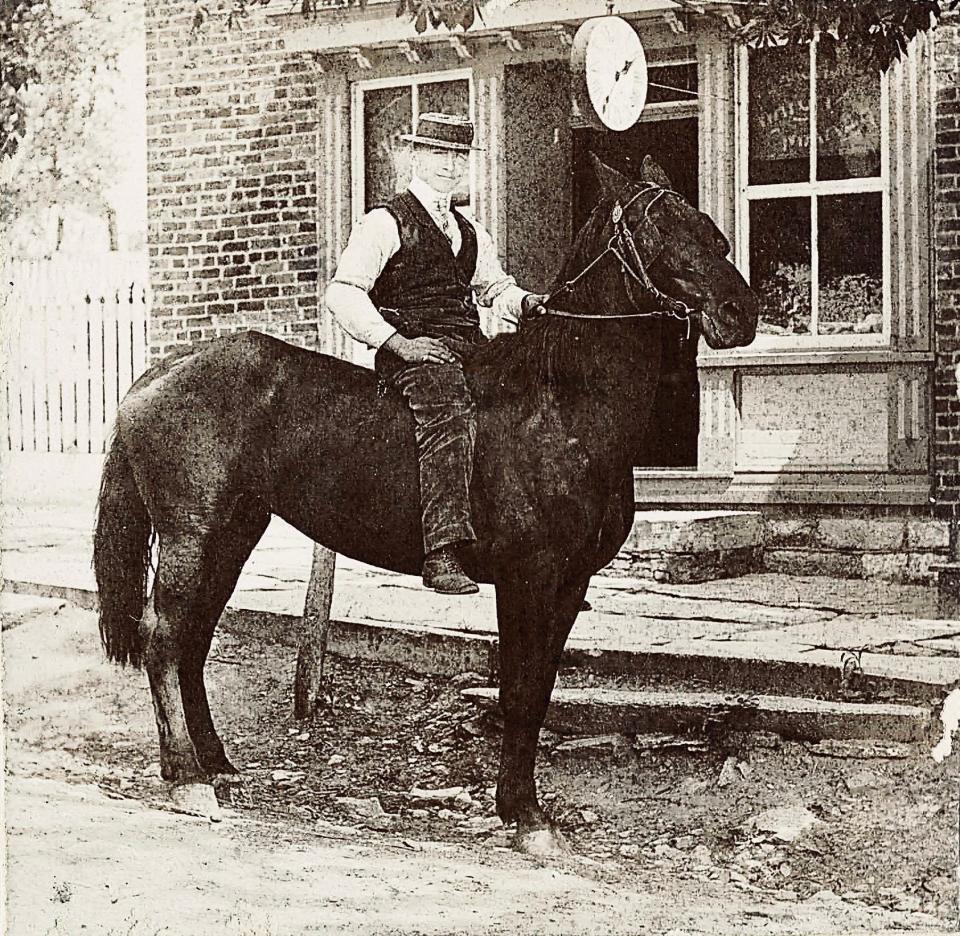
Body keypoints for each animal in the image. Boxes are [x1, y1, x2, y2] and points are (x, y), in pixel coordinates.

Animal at [94, 155, 760, 856]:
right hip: (190, 536)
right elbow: (520, 692)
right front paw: (526, 816)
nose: (740, 311)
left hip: (231, 536)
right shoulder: (527, 578)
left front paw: (518, 806)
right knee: (164, 639)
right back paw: (186, 777)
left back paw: (217, 764)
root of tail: (155, 376)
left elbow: (540, 689)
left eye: (702, 221)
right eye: (655, 227)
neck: (559, 402)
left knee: (192, 643)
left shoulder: (569, 582)